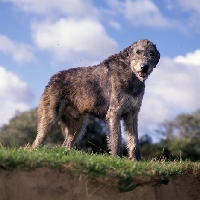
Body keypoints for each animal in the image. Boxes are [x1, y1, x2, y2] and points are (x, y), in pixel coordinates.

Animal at [32, 39, 160, 161]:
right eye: (138, 52)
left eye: (151, 54)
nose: (144, 67)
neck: (130, 74)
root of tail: (53, 78)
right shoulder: (114, 113)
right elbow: (116, 138)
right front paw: (116, 158)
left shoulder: (132, 114)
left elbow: (134, 140)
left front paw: (136, 160)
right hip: (50, 118)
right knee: (37, 141)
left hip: (77, 126)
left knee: (66, 144)